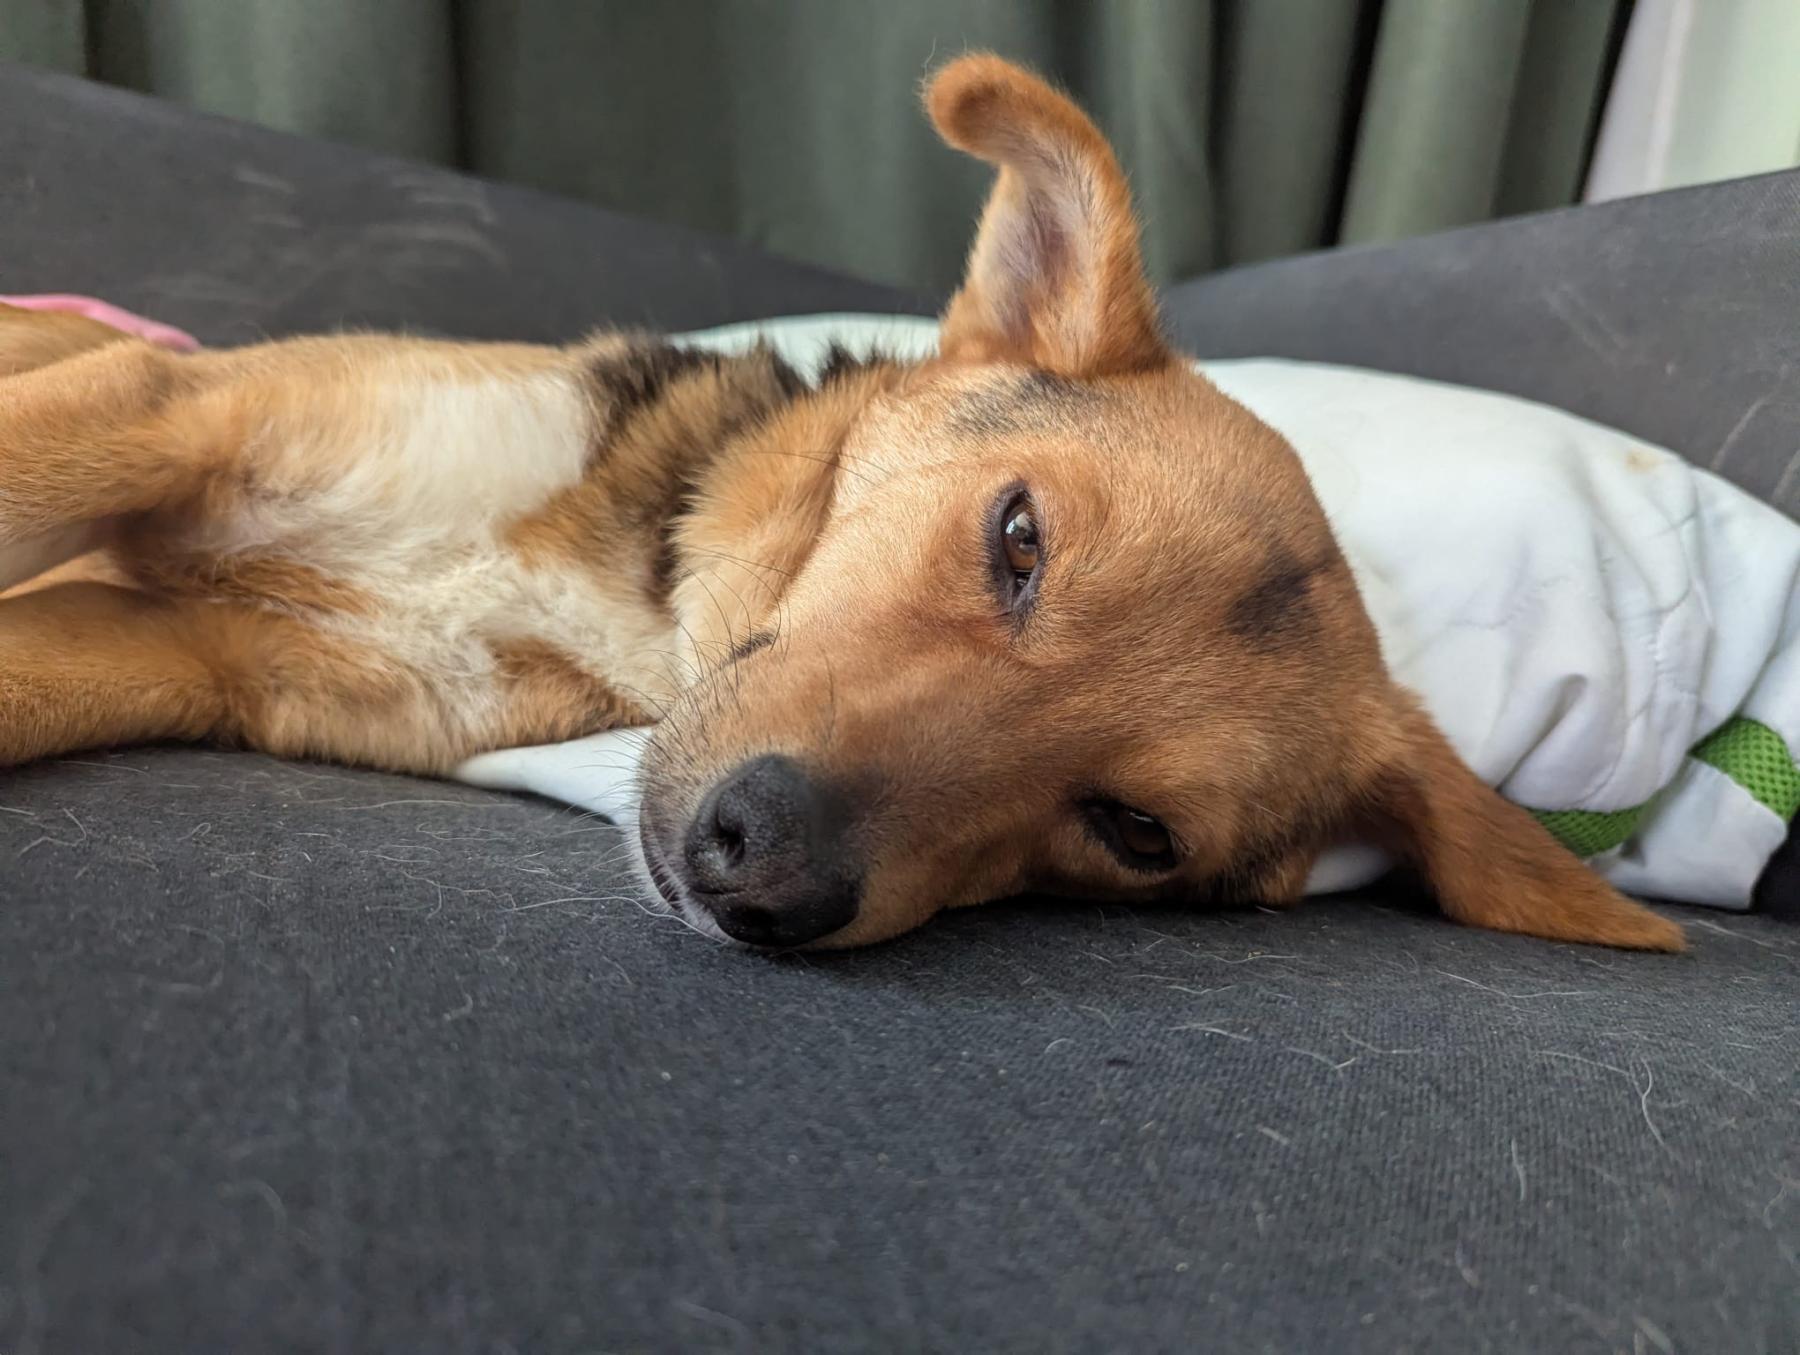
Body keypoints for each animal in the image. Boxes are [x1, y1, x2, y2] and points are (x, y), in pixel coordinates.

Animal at [0, 55, 1684, 953]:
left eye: (1137, 830)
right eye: (1019, 538)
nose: (768, 874)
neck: (625, 592)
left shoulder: (177, 652)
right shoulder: (179, 410)